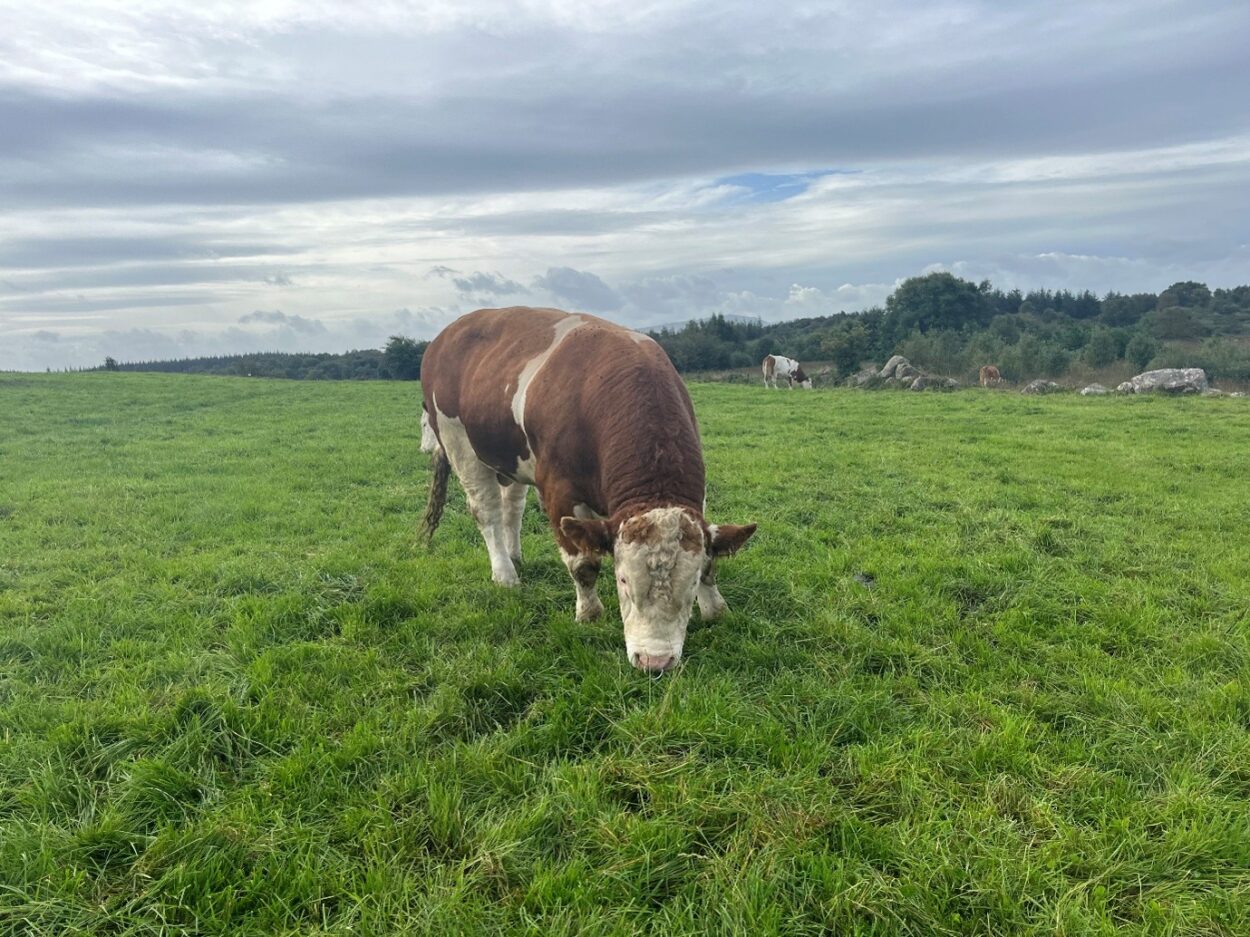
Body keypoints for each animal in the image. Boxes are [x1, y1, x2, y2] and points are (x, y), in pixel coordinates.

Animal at [419, 307, 757, 674]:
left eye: (692, 582)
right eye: (622, 581)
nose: (654, 661)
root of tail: (446, 334)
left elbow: (710, 560)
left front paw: (715, 608)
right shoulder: (558, 492)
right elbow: (583, 564)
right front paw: (589, 614)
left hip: (509, 455)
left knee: (512, 506)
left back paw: (514, 555)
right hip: (458, 441)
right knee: (486, 511)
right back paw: (505, 572)